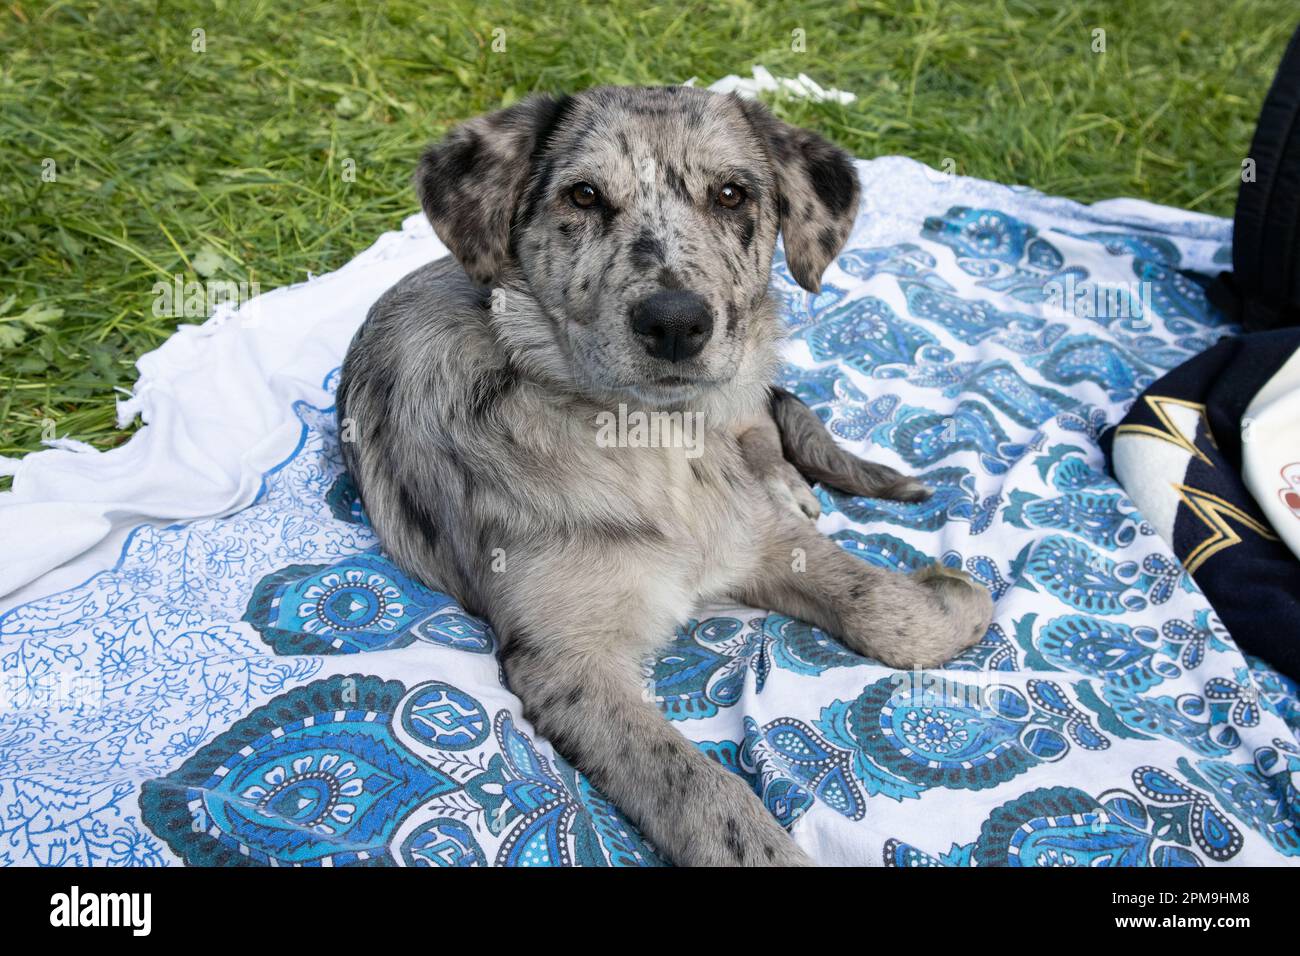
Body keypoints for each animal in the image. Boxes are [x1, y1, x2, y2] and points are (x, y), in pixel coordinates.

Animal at [338, 87, 993, 868]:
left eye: (733, 194)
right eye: (584, 196)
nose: (676, 323)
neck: (654, 443)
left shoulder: (756, 536)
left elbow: (883, 609)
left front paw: (953, 600)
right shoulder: (567, 661)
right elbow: (705, 795)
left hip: (748, 388)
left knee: (765, 421)